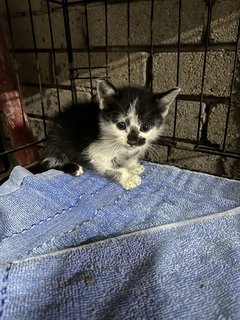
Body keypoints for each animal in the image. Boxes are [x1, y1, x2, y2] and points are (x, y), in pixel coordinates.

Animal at [41, 80, 180, 190]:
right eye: (121, 125)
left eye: (145, 127)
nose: (132, 141)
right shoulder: (95, 152)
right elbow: (113, 168)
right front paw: (129, 178)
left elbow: (129, 159)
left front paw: (132, 166)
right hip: (57, 144)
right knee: (50, 162)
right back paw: (74, 168)